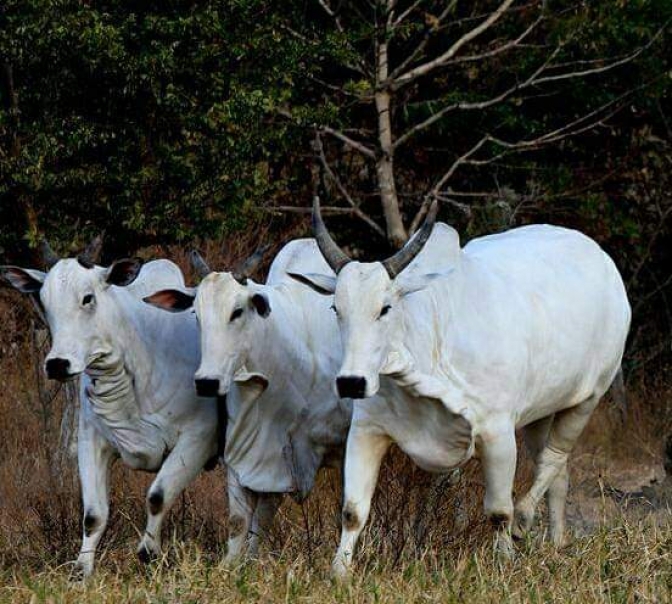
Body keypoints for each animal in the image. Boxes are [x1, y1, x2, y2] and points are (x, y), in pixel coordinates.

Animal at [0, 249, 218, 576]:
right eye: (44, 302)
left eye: (87, 298)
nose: (57, 364)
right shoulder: (90, 441)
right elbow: (93, 514)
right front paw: (81, 570)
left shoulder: (198, 438)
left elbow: (158, 496)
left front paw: (149, 553)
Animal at [144, 239, 354, 560]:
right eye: (196, 315)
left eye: (238, 311)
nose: (207, 381)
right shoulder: (244, 450)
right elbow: (239, 520)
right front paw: (232, 564)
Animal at [292, 198, 632, 576]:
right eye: (335, 307)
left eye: (385, 307)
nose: (351, 381)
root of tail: (601, 258)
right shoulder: (368, 430)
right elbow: (353, 511)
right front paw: (339, 572)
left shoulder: (498, 433)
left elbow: (499, 512)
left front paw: (504, 562)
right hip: (541, 411)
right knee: (559, 474)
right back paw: (557, 543)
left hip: (588, 397)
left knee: (553, 459)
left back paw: (525, 522)